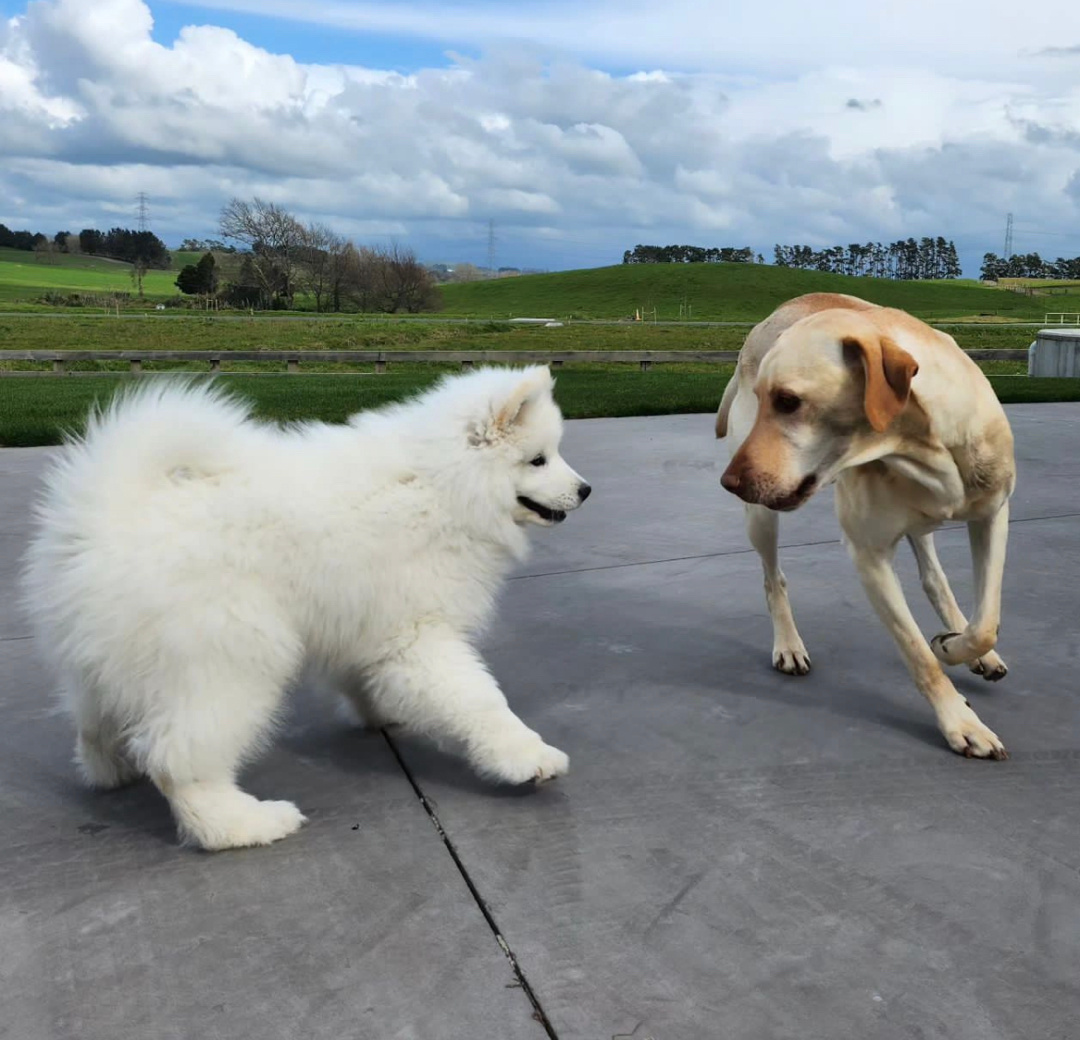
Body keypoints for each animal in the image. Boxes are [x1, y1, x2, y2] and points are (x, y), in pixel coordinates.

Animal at [19, 369, 591, 851]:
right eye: (538, 460)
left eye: (553, 453)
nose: (585, 490)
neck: (443, 486)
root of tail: (103, 513)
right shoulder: (418, 633)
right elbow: (481, 701)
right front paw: (527, 756)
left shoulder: (369, 624)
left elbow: (369, 677)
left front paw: (382, 712)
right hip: (229, 660)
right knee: (179, 761)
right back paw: (244, 824)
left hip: (108, 663)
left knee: (96, 725)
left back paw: (112, 770)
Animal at [717, 293, 1010, 755]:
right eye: (763, 398)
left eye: (788, 401)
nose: (729, 483)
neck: (923, 445)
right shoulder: (869, 556)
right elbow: (918, 654)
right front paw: (961, 722)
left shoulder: (993, 514)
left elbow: (985, 623)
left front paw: (955, 646)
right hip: (762, 518)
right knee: (772, 579)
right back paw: (788, 644)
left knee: (934, 578)